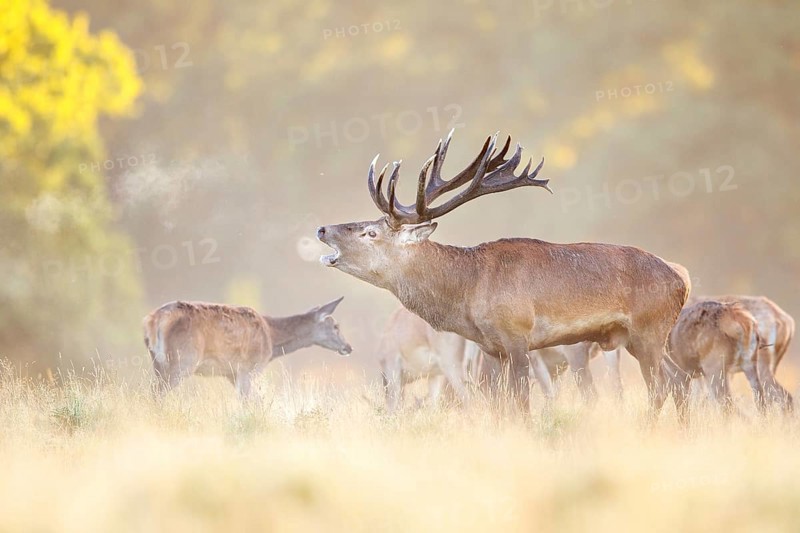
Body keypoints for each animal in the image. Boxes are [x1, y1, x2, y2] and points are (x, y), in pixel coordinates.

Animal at [142, 298, 352, 398]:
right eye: (336, 326)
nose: (348, 347)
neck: (272, 340)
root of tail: (155, 319)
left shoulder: (231, 374)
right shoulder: (250, 368)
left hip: (157, 361)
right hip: (184, 359)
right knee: (159, 393)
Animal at [317, 130, 690, 417]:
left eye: (370, 233)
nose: (322, 229)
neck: (469, 290)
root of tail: (681, 279)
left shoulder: (517, 335)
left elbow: (521, 402)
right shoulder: (490, 348)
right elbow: (499, 405)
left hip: (647, 329)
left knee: (660, 387)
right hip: (640, 337)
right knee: (679, 380)